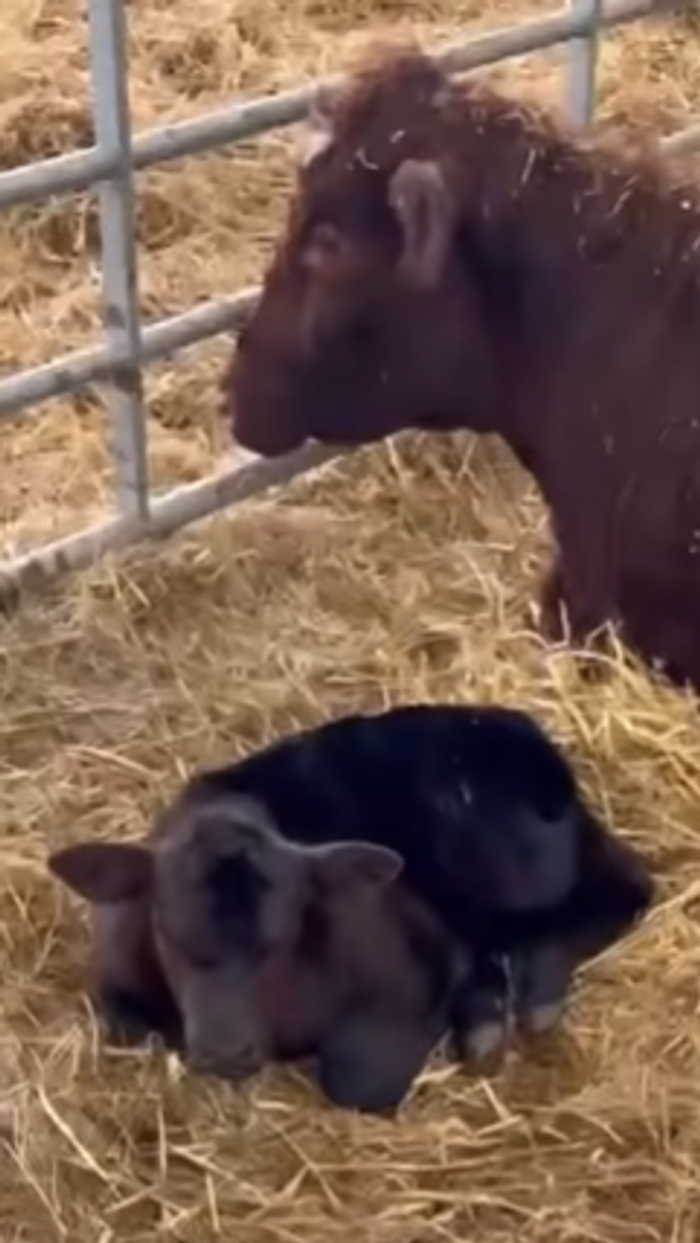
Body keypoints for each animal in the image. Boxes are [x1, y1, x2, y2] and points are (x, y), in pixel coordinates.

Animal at [48, 703, 653, 1084]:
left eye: (282, 939)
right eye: (169, 933)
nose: (225, 1055)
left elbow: (356, 1076)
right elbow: (125, 1024)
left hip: (502, 859)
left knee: (624, 891)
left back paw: (535, 1000)